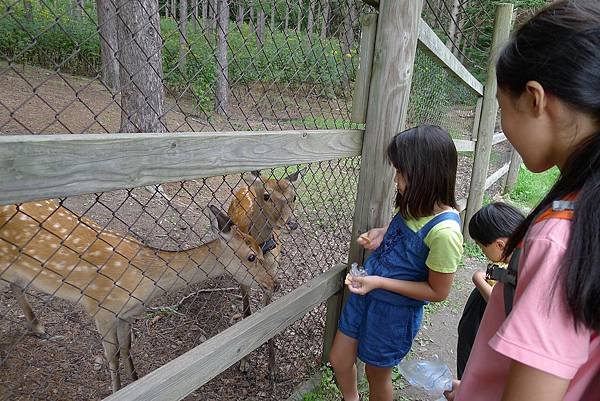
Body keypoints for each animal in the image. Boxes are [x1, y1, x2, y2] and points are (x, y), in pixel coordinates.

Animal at [0, 198, 276, 392]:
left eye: (260, 248)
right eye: (251, 256)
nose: (274, 283)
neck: (144, 280)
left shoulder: (128, 314)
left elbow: (127, 348)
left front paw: (135, 381)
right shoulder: (101, 309)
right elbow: (112, 357)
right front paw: (118, 390)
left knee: (16, 285)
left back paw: (38, 326)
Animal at [229, 168, 308, 376]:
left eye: (294, 196)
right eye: (266, 196)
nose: (291, 223)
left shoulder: (273, 277)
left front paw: (273, 368)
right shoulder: (244, 280)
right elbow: (247, 312)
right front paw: (244, 363)